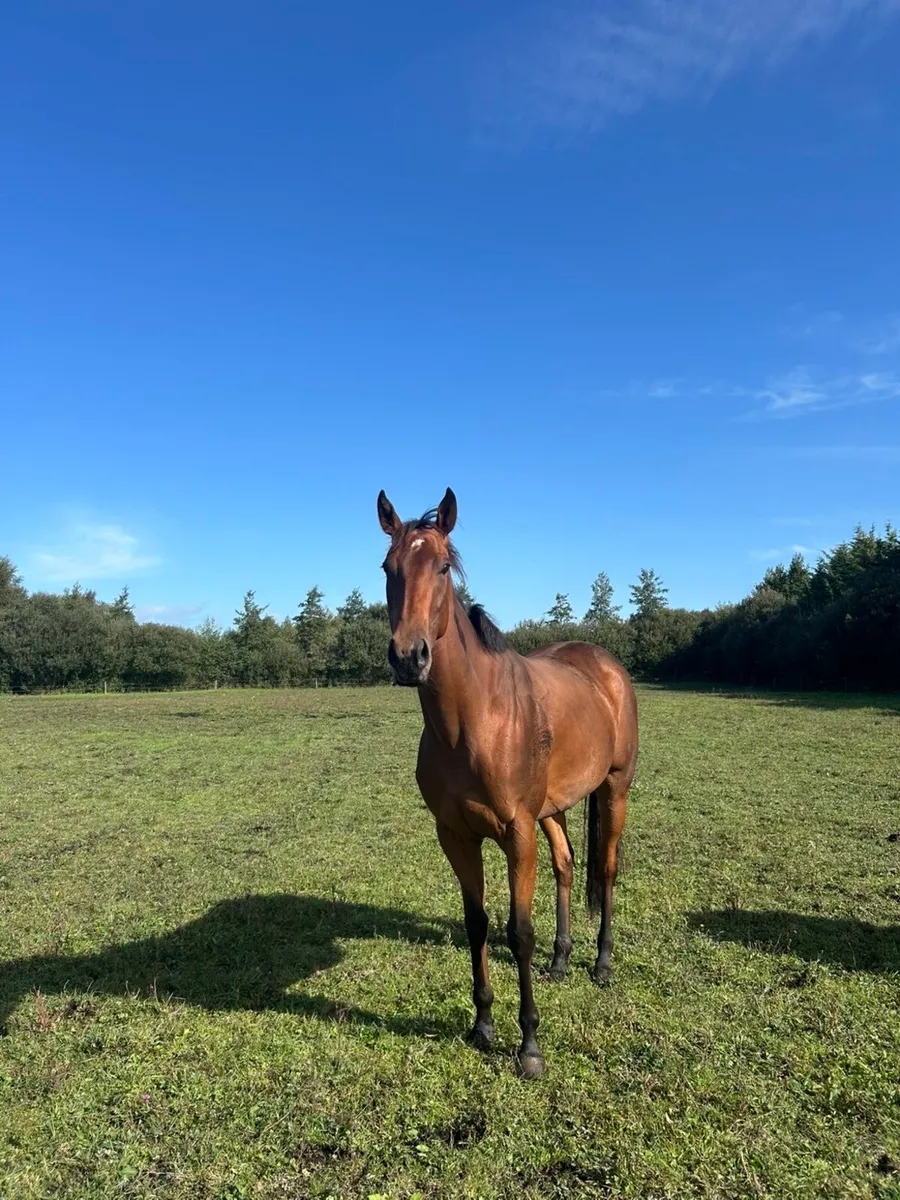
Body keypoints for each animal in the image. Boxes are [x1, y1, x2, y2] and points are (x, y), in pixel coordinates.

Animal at [377, 487, 638, 1078]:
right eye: (387, 568)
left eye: (443, 567)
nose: (409, 656)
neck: (475, 720)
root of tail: (605, 665)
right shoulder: (456, 835)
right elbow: (476, 923)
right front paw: (482, 1025)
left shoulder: (516, 833)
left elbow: (519, 932)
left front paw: (530, 1046)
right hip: (553, 808)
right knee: (567, 864)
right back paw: (561, 960)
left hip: (614, 789)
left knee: (607, 869)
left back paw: (602, 964)